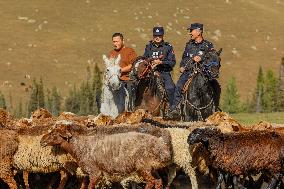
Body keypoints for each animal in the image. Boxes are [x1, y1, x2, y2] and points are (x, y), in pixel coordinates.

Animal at [40, 124, 172, 189]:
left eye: (54, 133)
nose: (42, 140)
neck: (80, 145)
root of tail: (161, 146)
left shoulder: (94, 172)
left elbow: (90, 186)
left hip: (143, 166)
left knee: (151, 182)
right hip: (152, 168)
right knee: (158, 182)